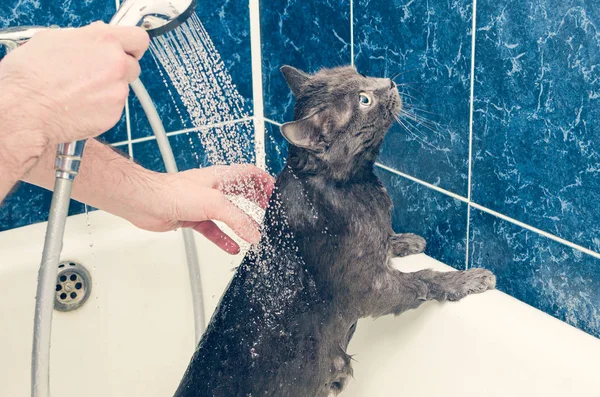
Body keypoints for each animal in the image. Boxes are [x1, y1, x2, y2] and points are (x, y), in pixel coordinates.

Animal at [175, 65, 496, 396]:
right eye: (364, 100)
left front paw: (406, 241)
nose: (389, 83)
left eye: (359, 73)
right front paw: (469, 278)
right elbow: (422, 280)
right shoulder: (373, 286)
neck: (352, 181)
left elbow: (384, 240)